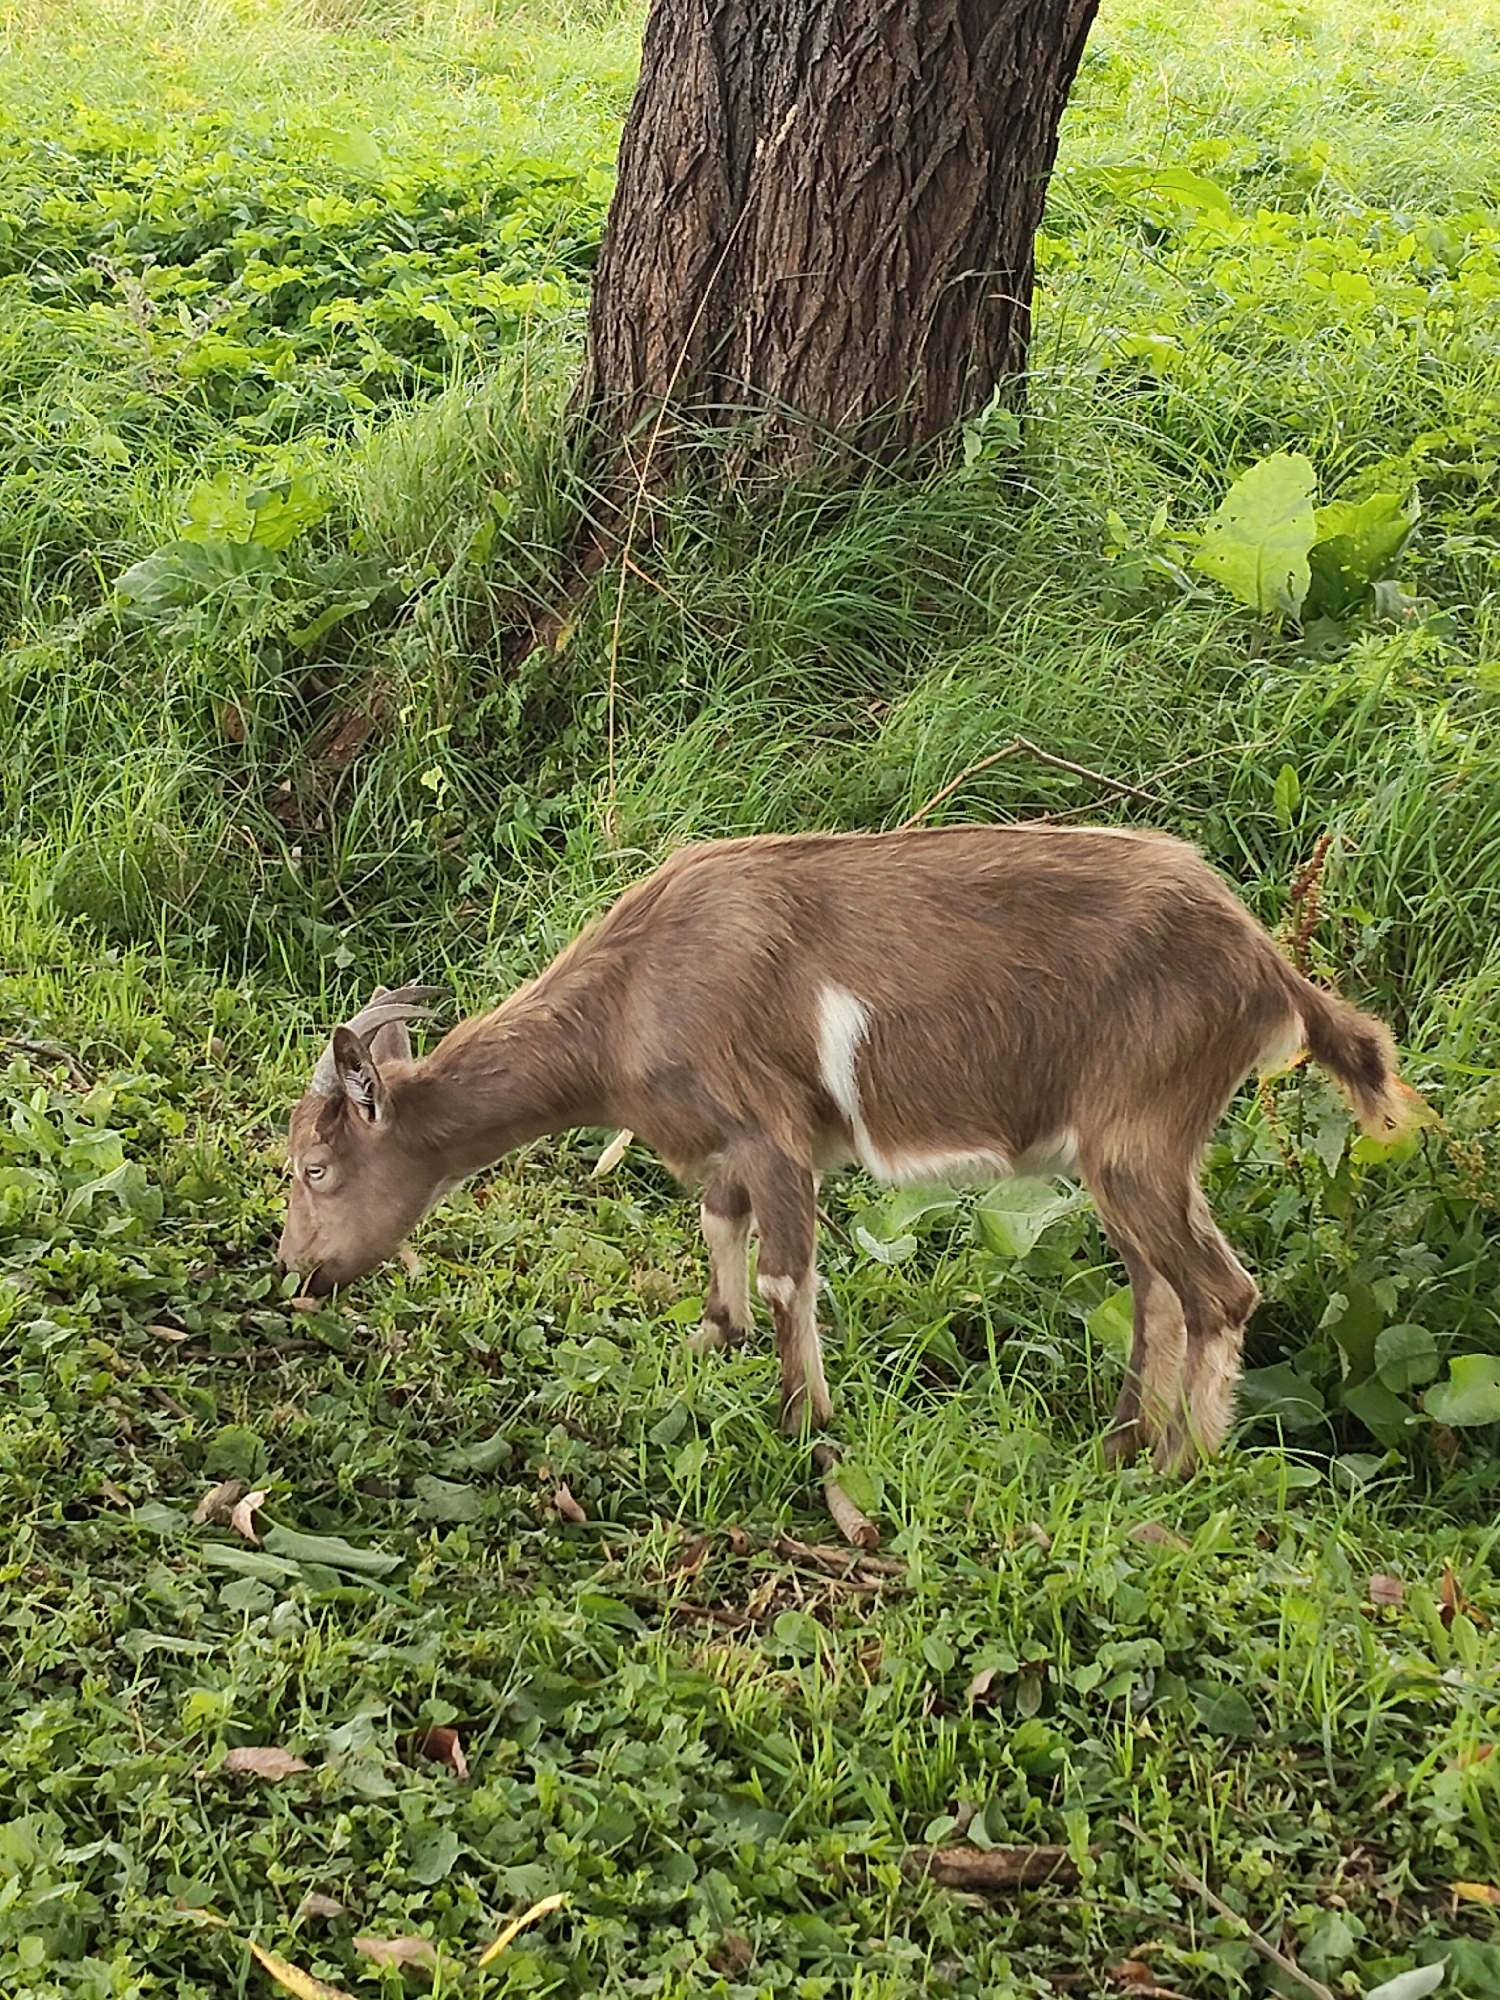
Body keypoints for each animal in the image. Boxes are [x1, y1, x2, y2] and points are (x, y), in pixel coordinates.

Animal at [278, 825, 1422, 1471]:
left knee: (1218, 1290)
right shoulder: (722, 1151)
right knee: (1158, 1289)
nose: (296, 1270)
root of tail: (1267, 965)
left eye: (314, 1168)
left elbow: (789, 1275)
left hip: (1140, 1130)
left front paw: (803, 1429)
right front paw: (714, 1345)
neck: (631, 993)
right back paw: (1124, 1441)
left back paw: (1179, 1468)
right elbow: (719, 1233)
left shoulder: (773, 1131)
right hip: (1138, 1154)